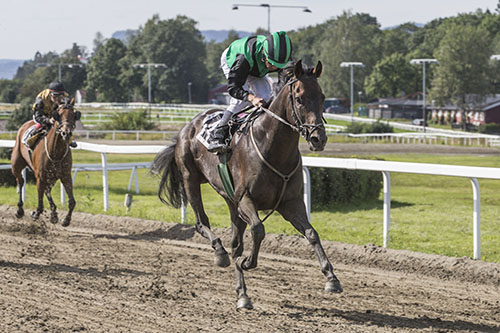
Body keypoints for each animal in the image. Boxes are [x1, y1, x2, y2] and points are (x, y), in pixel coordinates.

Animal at [150, 60, 342, 308]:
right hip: (190, 179)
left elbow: (311, 233)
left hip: (230, 201)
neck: (272, 148)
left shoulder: (290, 203)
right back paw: (221, 255)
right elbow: (258, 230)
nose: (319, 139)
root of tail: (187, 128)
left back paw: (242, 293)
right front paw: (248, 262)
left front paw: (331, 277)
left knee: (235, 243)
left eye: (322, 97)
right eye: (299, 98)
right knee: (202, 224)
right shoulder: (245, 200)